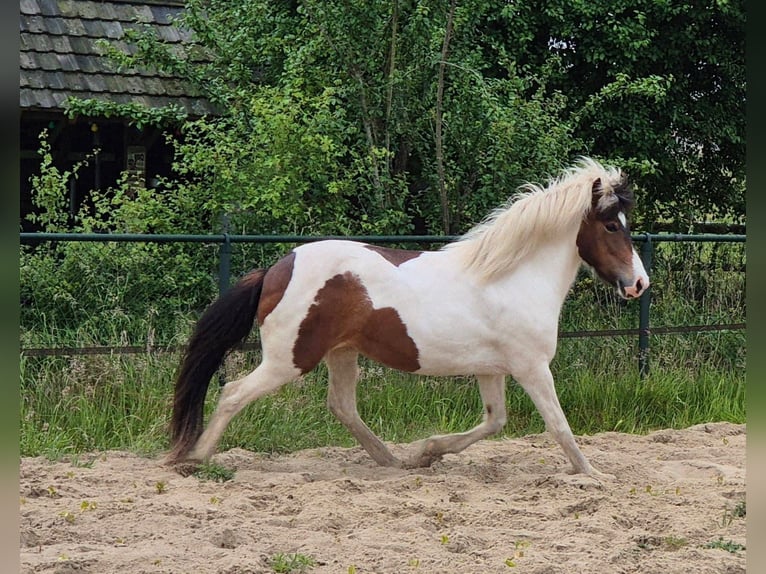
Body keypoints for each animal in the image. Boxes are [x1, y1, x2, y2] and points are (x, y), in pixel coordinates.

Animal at [167, 158, 649, 479]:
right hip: (290, 359)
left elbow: (494, 421)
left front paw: (426, 453)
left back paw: (392, 461)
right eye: (612, 227)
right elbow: (559, 425)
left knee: (342, 406)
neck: (511, 278)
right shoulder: (532, 367)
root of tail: (275, 270)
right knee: (233, 392)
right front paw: (595, 475)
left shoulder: (492, 369)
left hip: (341, 353)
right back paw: (194, 458)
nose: (639, 284)